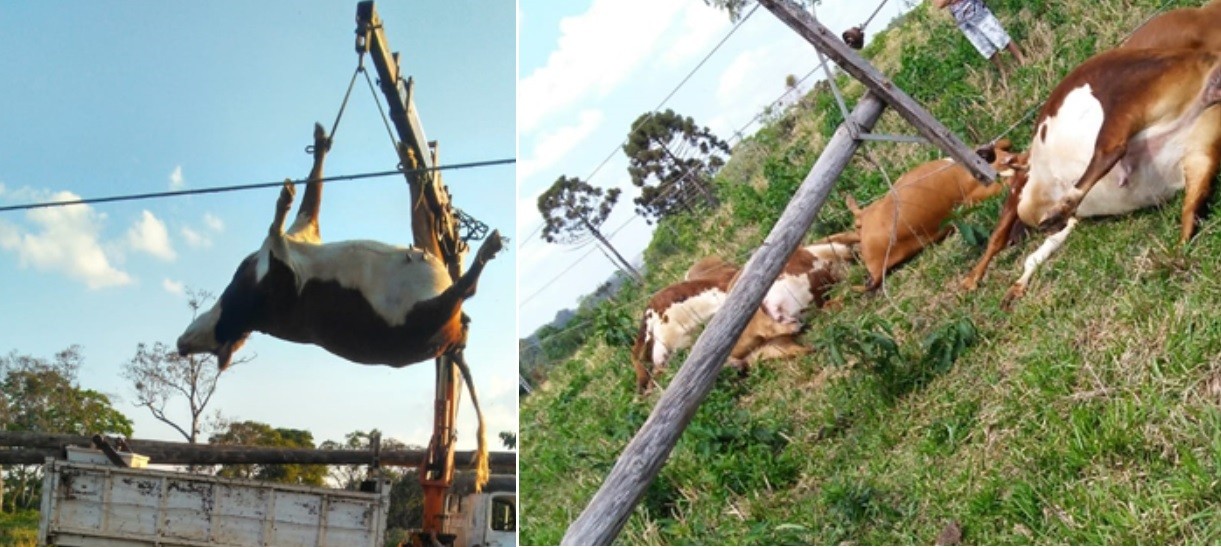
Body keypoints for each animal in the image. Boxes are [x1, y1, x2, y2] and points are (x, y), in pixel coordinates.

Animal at [176, 123, 503, 485]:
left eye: (208, 346)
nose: (180, 346)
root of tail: (457, 343)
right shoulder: (282, 277)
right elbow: (279, 226)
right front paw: (285, 196)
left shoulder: (299, 239)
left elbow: (308, 198)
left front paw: (319, 144)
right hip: (419, 323)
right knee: (462, 287)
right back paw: (484, 248)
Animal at [961, 48, 1221, 305]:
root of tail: (1207, 60)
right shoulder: (1068, 220)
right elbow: (1042, 250)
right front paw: (1014, 287)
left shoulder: (1019, 188)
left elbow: (997, 237)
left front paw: (971, 279)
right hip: (1200, 151)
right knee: (1191, 209)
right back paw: (1174, 256)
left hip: (1124, 97)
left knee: (1111, 150)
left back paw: (1063, 206)